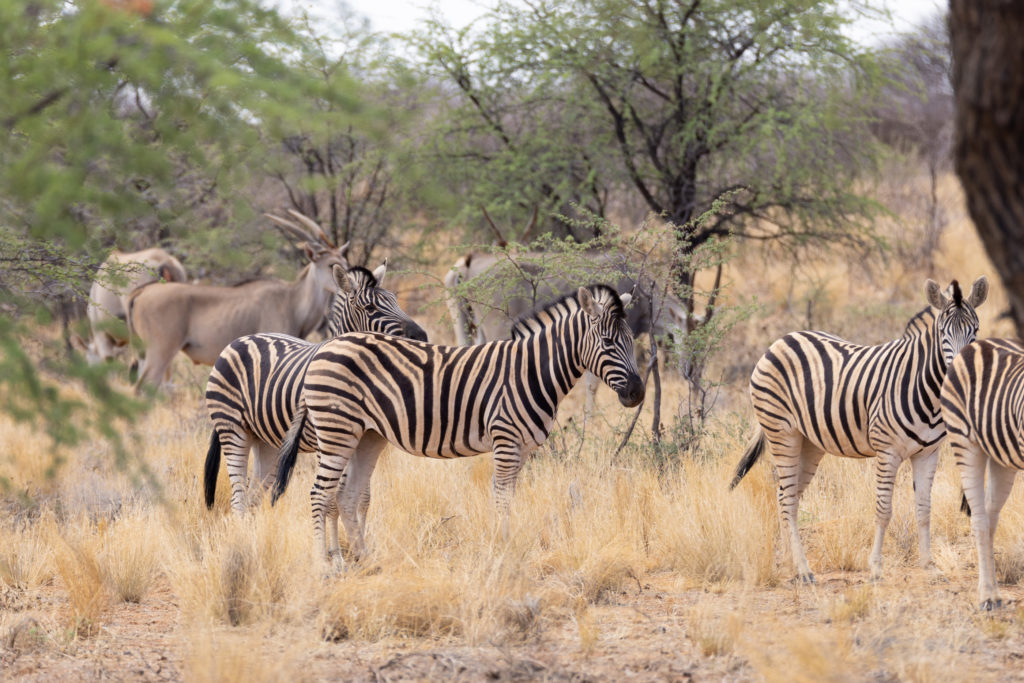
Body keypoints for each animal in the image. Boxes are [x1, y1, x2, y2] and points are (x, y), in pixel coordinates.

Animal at [203, 262, 428, 513]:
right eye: (370, 307)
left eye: (395, 300)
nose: (421, 335)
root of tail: (240, 340)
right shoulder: (328, 443)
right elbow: (333, 500)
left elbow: (362, 496)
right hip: (232, 427)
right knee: (239, 497)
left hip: (265, 439)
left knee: (253, 495)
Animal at [271, 285, 645, 566]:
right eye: (609, 342)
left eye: (631, 340)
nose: (638, 393)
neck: (531, 371)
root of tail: (323, 348)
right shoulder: (506, 441)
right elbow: (501, 498)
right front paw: (503, 551)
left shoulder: (523, 448)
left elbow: (509, 496)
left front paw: (506, 545)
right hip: (337, 431)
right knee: (320, 494)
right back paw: (324, 566)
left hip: (367, 436)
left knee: (346, 496)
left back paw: (366, 559)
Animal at [730, 277, 988, 583]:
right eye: (942, 332)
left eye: (975, 330)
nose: (960, 372)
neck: (922, 386)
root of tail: (783, 339)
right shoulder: (887, 451)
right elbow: (883, 509)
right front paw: (875, 568)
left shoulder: (928, 453)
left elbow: (925, 509)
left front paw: (930, 566)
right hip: (782, 433)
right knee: (788, 496)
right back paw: (803, 569)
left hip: (810, 443)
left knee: (784, 495)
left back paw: (789, 565)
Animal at [941, 338, 1024, 609]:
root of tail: (981, 342)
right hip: (965, 443)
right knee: (979, 519)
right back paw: (987, 595)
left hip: (1002, 459)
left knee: (990, 518)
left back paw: (994, 593)